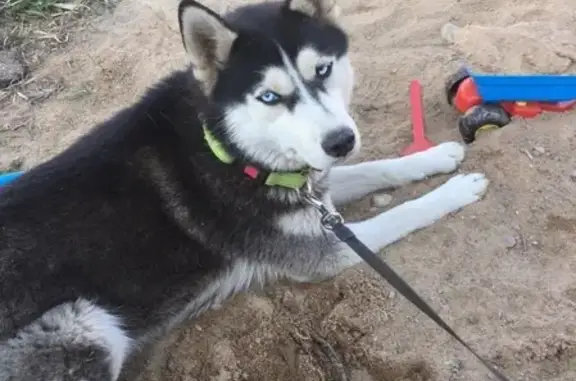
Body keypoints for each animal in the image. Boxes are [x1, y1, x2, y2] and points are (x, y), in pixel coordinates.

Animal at [0, 0, 488, 378]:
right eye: (269, 97)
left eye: (323, 70)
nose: (340, 141)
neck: (230, 148)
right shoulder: (321, 252)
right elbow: (401, 213)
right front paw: (455, 191)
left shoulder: (314, 188)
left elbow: (376, 169)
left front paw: (435, 158)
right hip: (85, 324)